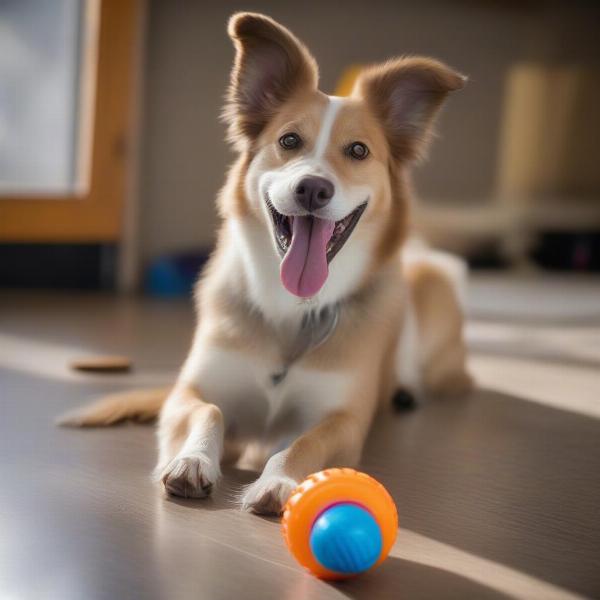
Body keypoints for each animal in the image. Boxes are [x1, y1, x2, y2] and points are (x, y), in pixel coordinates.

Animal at [62, 11, 474, 512]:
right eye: (289, 140)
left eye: (358, 150)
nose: (313, 188)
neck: (290, 311)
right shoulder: (191, 391)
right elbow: (209, 411)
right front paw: (192, 460)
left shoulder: (343, 420)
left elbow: (303, 442)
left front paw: (278, 481)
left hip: (436, 281)